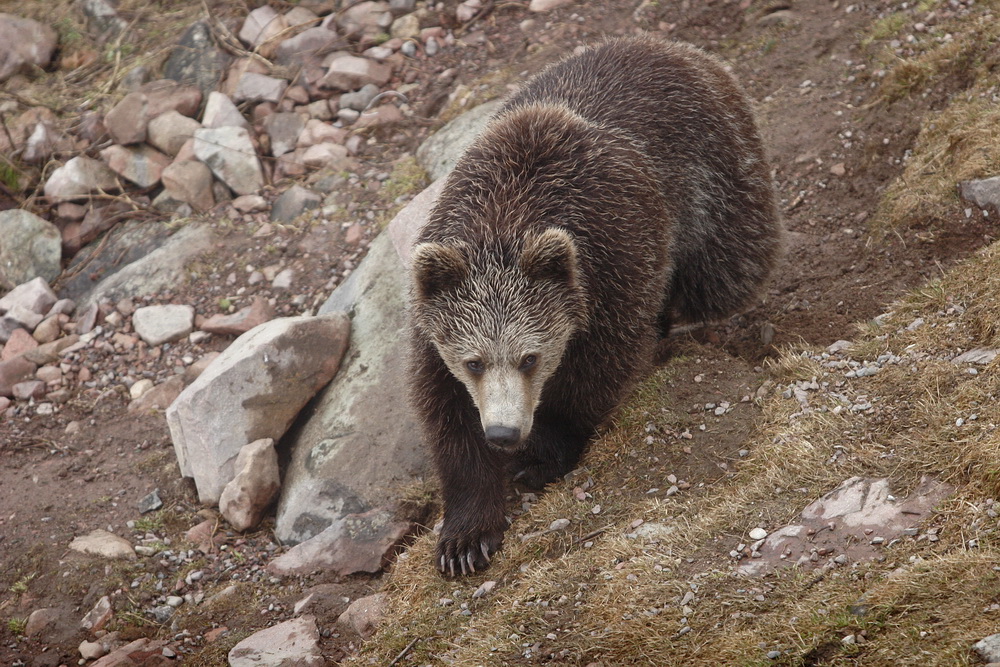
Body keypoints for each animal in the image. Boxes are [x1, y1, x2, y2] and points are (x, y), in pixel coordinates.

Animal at [406, 35, 780, 576]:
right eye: (473, 362)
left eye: (530, 357)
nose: (504, 433)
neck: (509, 213)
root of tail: (672, 46)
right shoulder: (436, 321)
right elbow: (448, 416)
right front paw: (465, 538)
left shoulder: (614, 266)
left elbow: (596, 375)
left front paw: (543, 454)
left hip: (718, 179)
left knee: (727, 269)